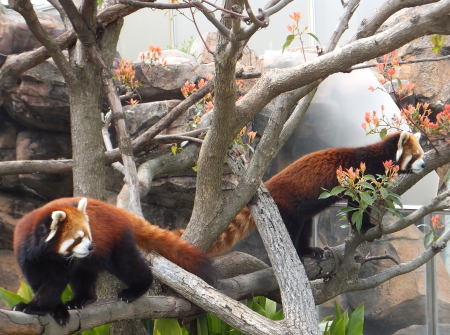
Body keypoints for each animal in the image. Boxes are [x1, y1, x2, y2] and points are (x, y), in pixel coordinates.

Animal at [11, 197, 214, 326]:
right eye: (78, 238)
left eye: (89, 235)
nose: (91, 247)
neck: (47, 254)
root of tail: (117, 209)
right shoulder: (28, 257)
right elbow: (39, 283)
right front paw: (54, 309)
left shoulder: (61, 263)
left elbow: (53, 284)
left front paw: (34, 307)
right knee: (83, 275)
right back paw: (83, 299)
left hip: (116, 242)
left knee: (128, 265)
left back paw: (135, 289)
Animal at [207, 131, 426, 260]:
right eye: (415, 156)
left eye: (422, 155)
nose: (424, 165)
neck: (380, 157)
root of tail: (269, 185)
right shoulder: (361, 175)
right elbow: (356, 205)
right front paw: (363, 227)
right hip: (287, 205)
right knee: (292, 229)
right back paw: (297, 254)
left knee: (305, 228)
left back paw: (309, 251)